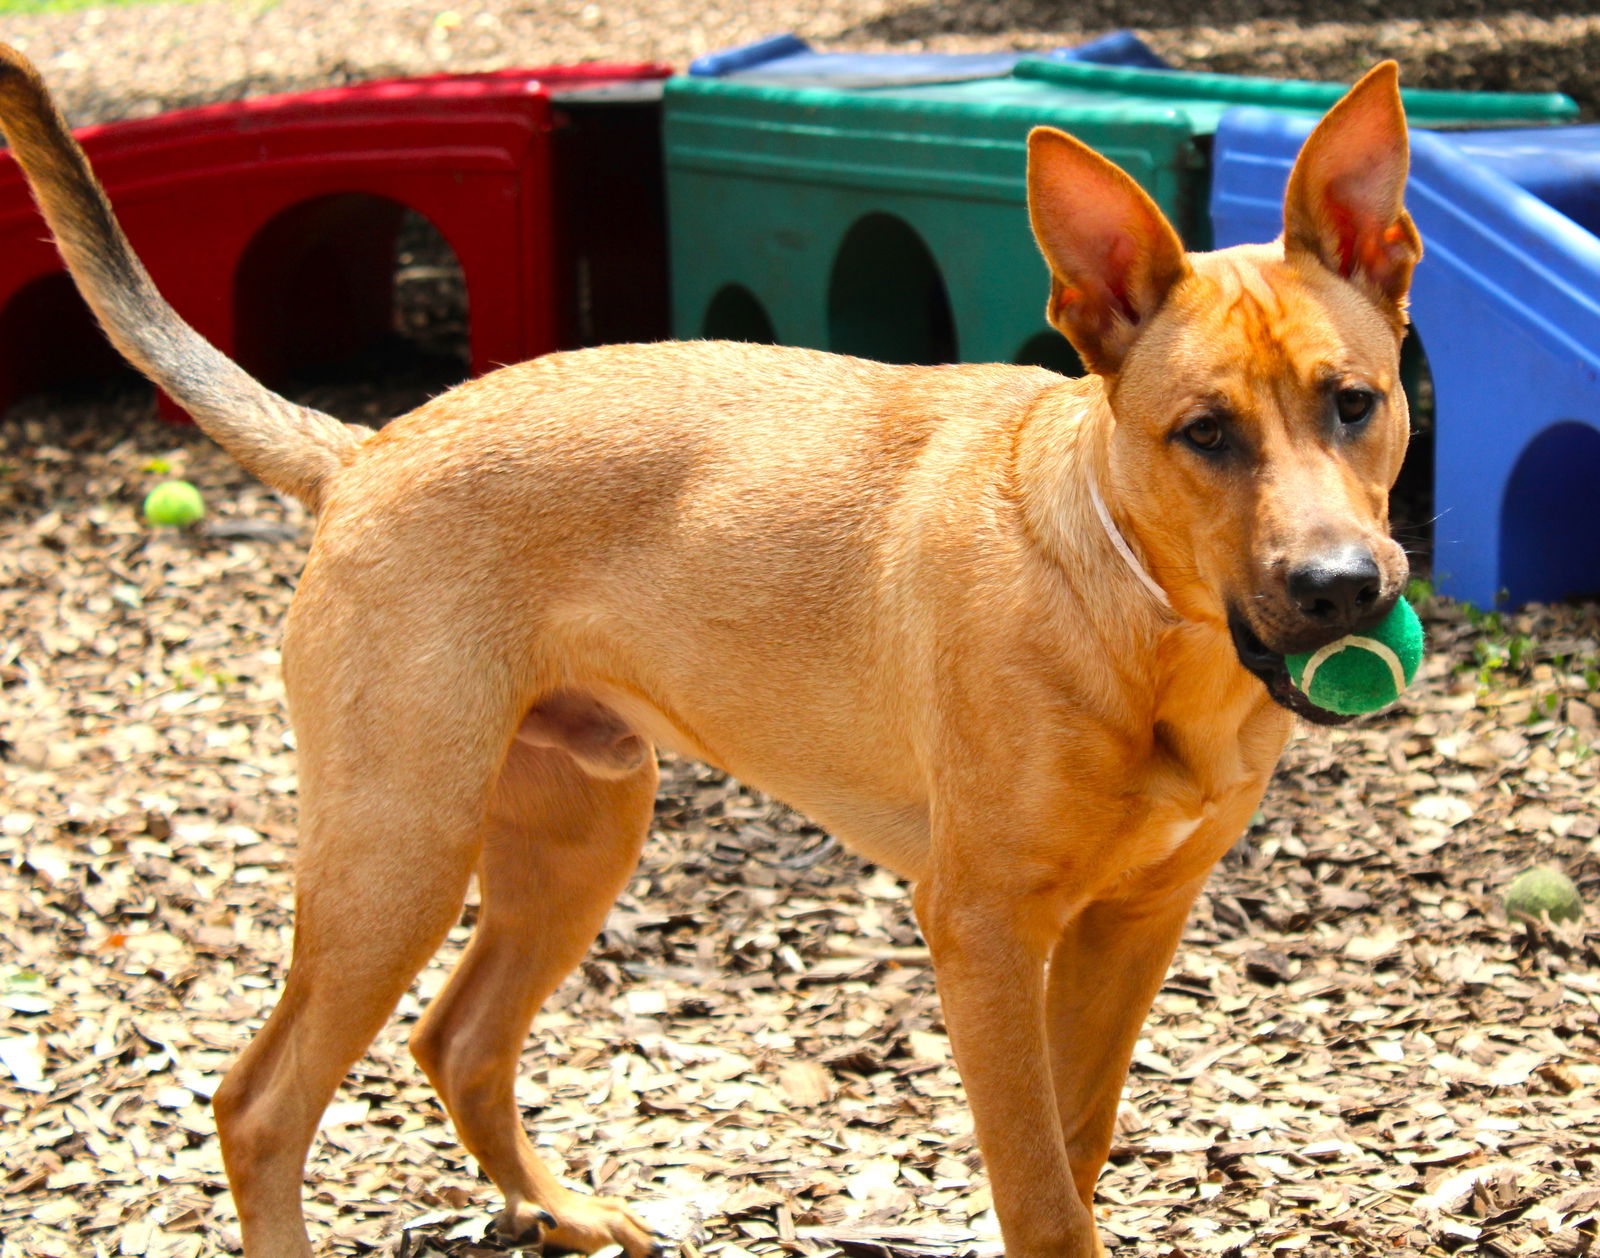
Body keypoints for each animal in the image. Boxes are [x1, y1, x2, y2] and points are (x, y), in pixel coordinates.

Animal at [6, 49, 1420, 1254]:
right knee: (260, 1103)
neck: (1136, 617)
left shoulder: (1134, 923)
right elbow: (1038, 1189)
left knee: (457, 1041)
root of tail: (365, 448)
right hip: (396, 850)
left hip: (576, 827)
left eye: (1353, 402)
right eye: (1203, 433)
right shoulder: (981, 927)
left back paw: (559, 1207)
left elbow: (1077, 1146)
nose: (1341, 589)